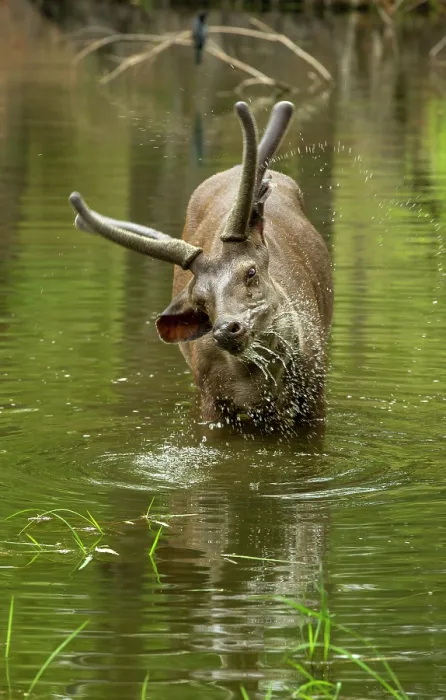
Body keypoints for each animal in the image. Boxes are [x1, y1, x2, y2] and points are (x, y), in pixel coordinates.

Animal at [69, 101, 333, 431]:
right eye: (201, 302)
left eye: (250, 272)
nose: (226, 330)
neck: (258, 387)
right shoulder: (210, 399)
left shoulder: (315, 394)